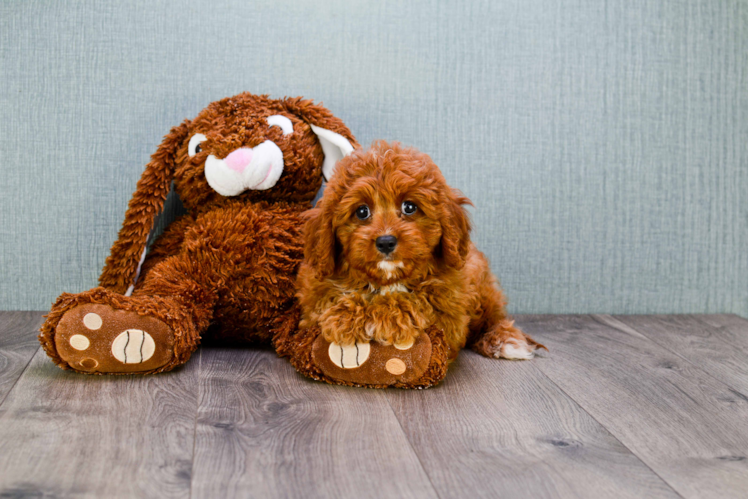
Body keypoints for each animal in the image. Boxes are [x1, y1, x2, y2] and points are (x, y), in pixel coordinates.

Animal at [39, 92, 358, 374]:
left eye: (280, 127)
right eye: (197, 147)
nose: (239, 159)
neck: (252, 203)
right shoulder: (180, 233)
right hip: (184, 278)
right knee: (171, 292)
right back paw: (108, 329)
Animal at [280, 143, 544, 388]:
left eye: (409, 207)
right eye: (362, 211)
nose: (386, 241)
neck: (386, 280)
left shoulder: (449, 311)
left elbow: (414, 301)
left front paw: (369, 315)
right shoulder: (313, 301)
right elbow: (330, 303)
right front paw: (345, 314)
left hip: (482, 289)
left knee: (494, 317)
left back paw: (507, 341)